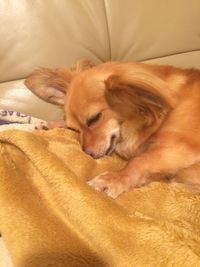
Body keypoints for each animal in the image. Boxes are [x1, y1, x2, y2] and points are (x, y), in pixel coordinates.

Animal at [25, 60, 200, 199]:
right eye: (74, 129)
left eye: (94, 119)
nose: (87, 153)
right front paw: (49, 125)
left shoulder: (179, 148)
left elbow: (139, 161)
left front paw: (112, 179)